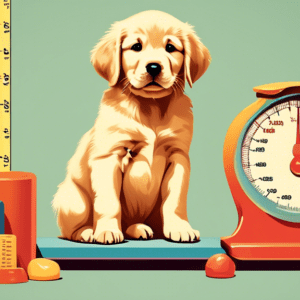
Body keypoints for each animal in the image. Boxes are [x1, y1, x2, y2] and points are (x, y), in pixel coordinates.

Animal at [52, 9, 211, 244]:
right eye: (136, 47)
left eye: (170, 48)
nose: (153, 67)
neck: (151, 107)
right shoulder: (110, 155)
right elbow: (109, 201)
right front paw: (106, 231)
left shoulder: (178, 156)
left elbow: (175, 199)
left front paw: (180, 228)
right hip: (73, 201)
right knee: (70, 230)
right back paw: (88, 232)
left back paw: (138, 228)